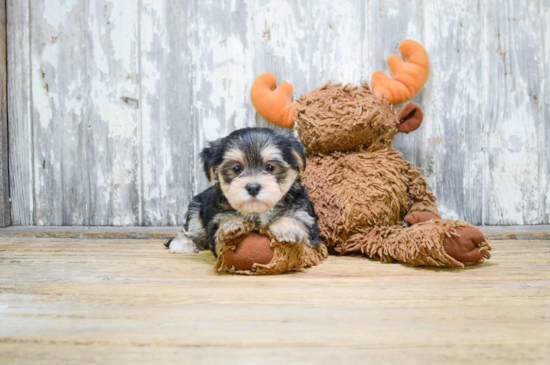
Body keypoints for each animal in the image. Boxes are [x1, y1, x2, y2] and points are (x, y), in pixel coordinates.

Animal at [166, 126, 322, 255]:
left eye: (270, 167)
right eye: (237, 168)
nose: (253, 187)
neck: (258, 212)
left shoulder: (305, 213)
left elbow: (298, 219)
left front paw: (287, 227)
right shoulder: (216, 216)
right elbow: (220, 229)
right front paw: (231, 225)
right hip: (196, 205)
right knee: (194, 227)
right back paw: (185, 243)